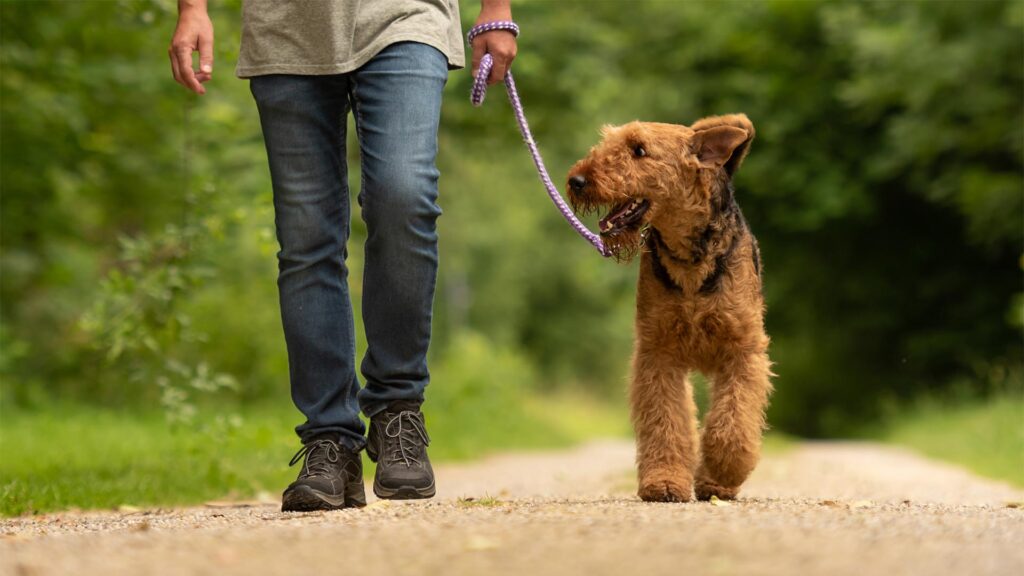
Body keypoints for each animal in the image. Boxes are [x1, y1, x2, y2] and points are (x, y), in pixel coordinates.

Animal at [565, 114, 770, 500]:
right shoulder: (658, 352)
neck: (689, 259)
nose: (576, 180)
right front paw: (663, 482)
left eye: (639, 150)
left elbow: (731, 424)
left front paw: (720, 473)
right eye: (609, 142)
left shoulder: (742, 350)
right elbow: (666, 422)